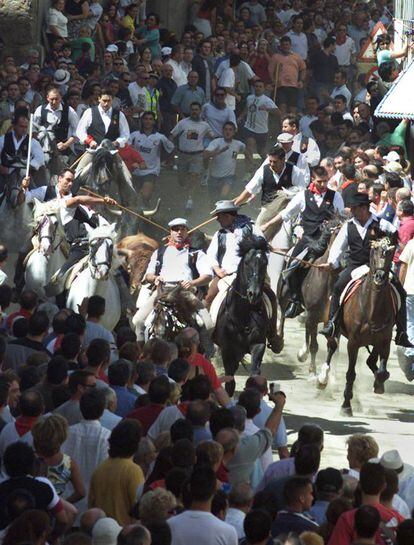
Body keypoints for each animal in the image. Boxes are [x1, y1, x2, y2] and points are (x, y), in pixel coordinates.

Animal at [213, 235, 272, 396]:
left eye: (265, 263)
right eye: (246, 262)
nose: (254, 294)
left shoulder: (258, 345)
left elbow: (255, 374)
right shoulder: (227, 349)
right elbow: (230, 382)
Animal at [322, 237, 396, 412]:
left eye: (391, 253)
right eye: (374, 251)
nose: (380, 276)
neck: (372, 310)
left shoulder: (385, 341)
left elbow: (382, 371)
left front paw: (379, 385)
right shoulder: (353, 343)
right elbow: (351, 373)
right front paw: (346, 405)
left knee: (371, 361)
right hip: (332, 328)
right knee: (331, 347)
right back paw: (322, 379)